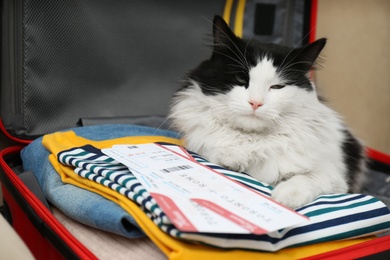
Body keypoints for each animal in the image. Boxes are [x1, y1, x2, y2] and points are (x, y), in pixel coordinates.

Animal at [168, 15, 366, 209]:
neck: (253, 139)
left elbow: (307, 178)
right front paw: (233, 157)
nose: (256, 103)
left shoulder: (335, 177)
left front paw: (285, 197)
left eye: (277, 87)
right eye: (241, 78)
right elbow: (218, 148)